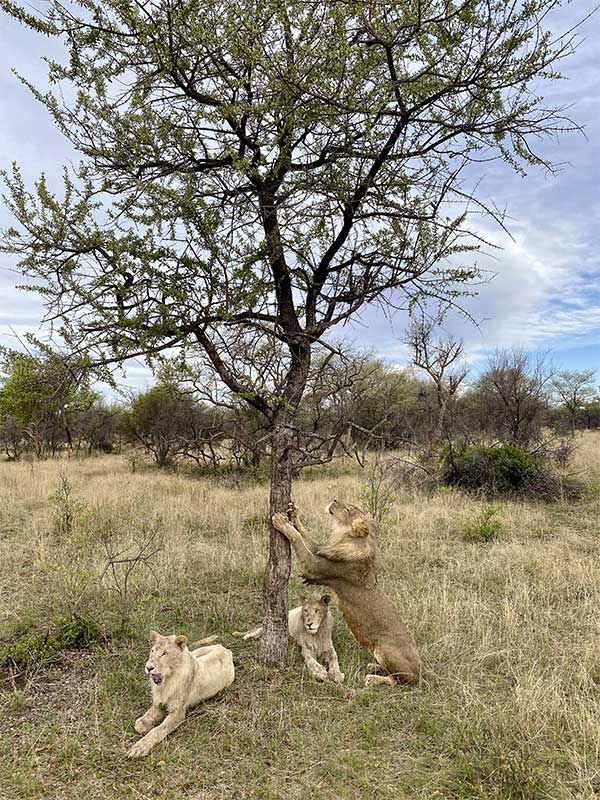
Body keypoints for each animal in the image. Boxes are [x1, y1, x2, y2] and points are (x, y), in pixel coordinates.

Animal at [272, 501, 425, 687]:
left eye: (347, 509)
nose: (334, 500)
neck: (346, 539)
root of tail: (422, 667)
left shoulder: (314, 565)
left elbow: (298, 539)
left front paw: (281, 522)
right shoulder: (320, 551)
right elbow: (307, 537)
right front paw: (294, 514)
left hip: (384, 649)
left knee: (397, 680)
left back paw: (373, 677)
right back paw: (373, 666)